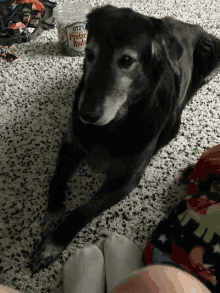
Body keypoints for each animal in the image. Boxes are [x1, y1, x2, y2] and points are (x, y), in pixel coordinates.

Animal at [30, 4, 220, 270]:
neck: (115, 124)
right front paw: (54, 212)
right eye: (88, 53)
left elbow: (83, 211)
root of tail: (190, 25)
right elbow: (57, 178)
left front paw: (53, 244)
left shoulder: (127, 178)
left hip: (212, 49)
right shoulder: (71, 142)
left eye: (127, 60)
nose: (86, 114)